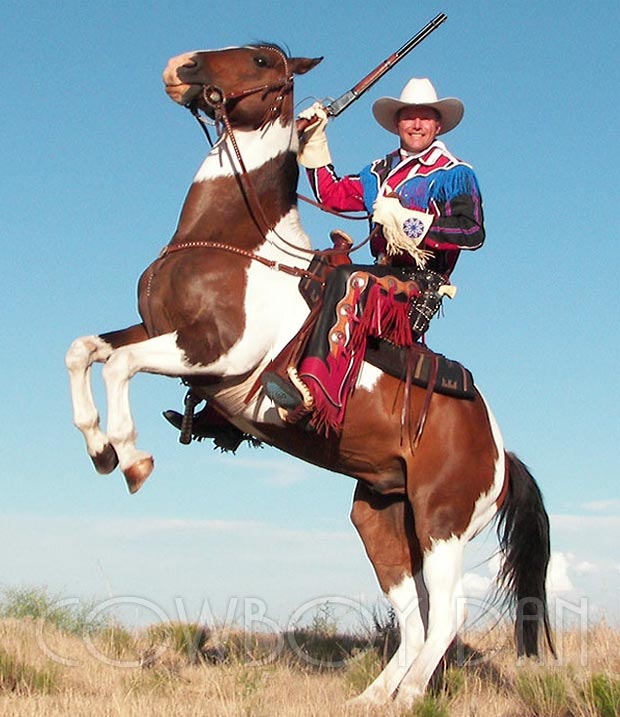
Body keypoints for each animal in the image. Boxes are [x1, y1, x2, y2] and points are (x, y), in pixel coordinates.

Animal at [65, 43, 556, 704]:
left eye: (261, 59)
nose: (181, 66)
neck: (238, 245)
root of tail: (502, 456)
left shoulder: (213, 353)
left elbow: (118, 364)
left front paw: (132, 458)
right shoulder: (156, 330)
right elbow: (85, 351)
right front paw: (99, 448)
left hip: (441, 523)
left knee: (447, 614)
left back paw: (407, 697)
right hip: (381, 519)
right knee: (415, 616)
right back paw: (371, 699)